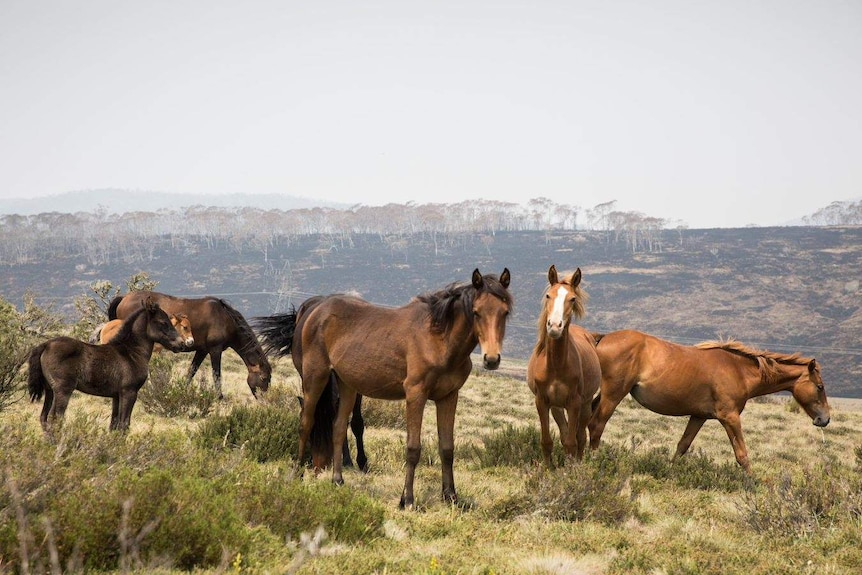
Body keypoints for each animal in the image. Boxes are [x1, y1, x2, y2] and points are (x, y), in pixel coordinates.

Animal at [27, 296, 186, 432]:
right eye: (163, 322)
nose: (181, 344)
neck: (131, 352)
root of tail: (46, 345)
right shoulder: (130, 392)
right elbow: (124, 425)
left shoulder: (116, 395)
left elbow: (114, 425)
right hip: (63, 390)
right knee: (54, 419)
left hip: (49, 390)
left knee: (44, 417)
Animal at [108, 290, 272, 398]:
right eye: (264, 378)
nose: (264, 400)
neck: (225, 318)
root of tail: (124, 298)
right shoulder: (215, 350)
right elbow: (216, 374)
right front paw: (220, 397)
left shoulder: (202, 351)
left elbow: (191, 371)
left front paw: (182, 390)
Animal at [256, 270, 512, 508]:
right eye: (476, 311)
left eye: (505, 312)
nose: (491, 359)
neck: (438, 340)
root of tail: (315, 310)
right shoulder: (416, 395)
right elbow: (413, 448)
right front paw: (407, 500)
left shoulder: (449, 397)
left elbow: (447, 448)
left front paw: (451, 497)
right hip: (314, 378)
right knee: (306, 423)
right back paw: (296, 475)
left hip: (347, 385)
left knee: (338, 427)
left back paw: (338, 480)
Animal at [528, 266, 600, 468]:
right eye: (548, 295)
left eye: (572, 298)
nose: (554, 326)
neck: (556, 366)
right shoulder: (542, 401)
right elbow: (547, 441)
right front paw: (547, 469)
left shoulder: (574, 403)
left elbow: (571, 442)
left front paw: (570, 471)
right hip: (557, 407)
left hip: (585, 404)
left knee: (580, 437)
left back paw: (578, 464)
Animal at [588, 328, 832, 472]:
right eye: (820, 387)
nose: (825, 419)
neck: (738, 370)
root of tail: (601, 338)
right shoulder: (730, 418)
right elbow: (742, 455)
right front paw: (753, 484)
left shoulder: (698, 416)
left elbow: (683, 445)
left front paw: (669, 471)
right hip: (613, 394)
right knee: (597, 425)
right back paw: (592, 462)